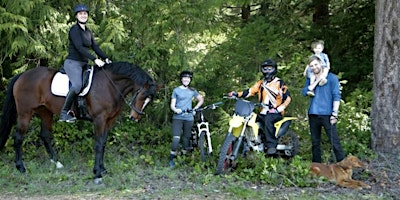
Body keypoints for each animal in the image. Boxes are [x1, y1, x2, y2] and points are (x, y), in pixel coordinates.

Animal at [0, 61, 156, 184]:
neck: (110, 85)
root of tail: (22, 75)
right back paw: (21, 168)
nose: (135, 117)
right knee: (18, 137)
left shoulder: (109, 120)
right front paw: (97, 174)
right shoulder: (99, 119)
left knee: (45, 135)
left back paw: (57, 163)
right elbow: (98, 144)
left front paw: (103, 169)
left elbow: (103, 144)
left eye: (148, 100)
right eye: (142, 95)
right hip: (25, 113)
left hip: (45, 112)